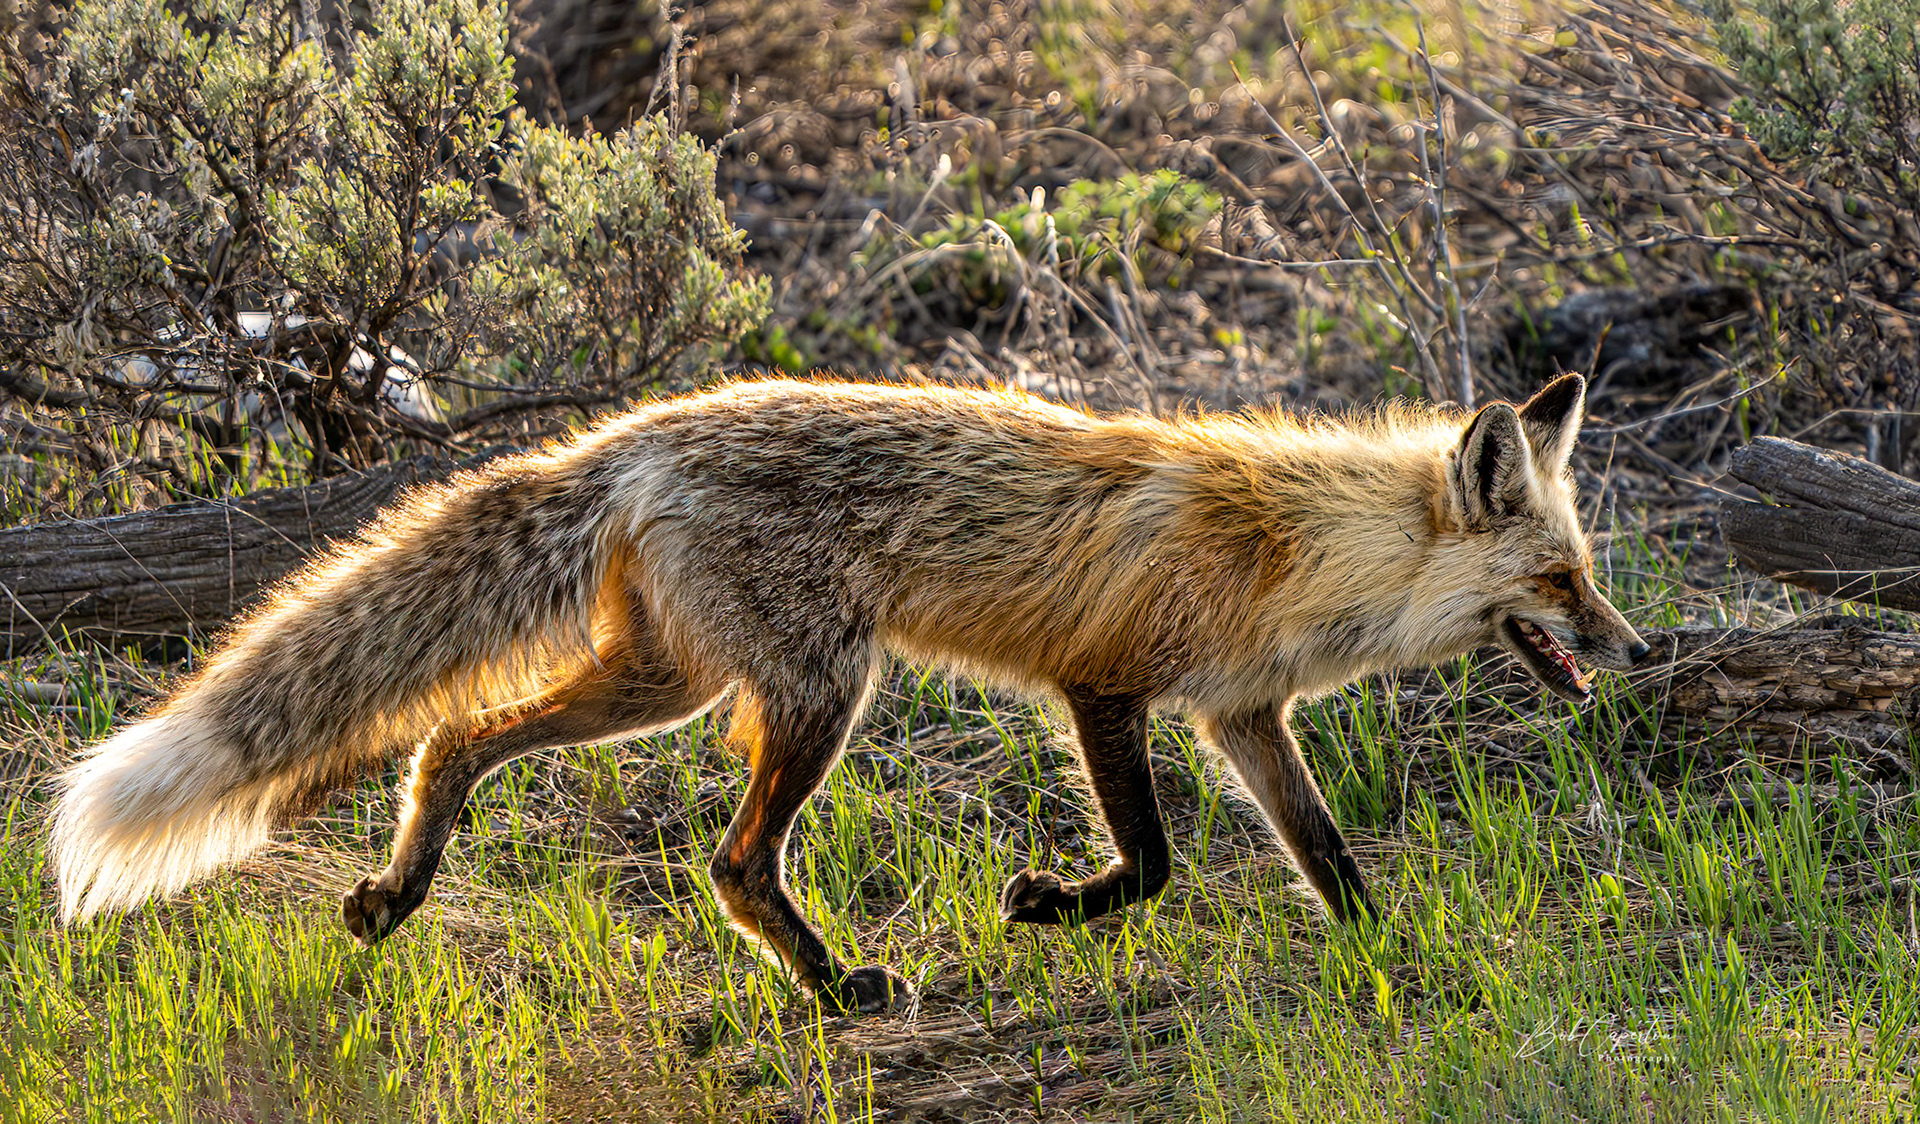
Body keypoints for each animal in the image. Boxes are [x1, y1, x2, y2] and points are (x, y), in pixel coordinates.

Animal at [49, 372, 1647, 1013]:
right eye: (1564, 581)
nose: (1634, 650)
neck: (1292, 550)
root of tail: (642, 431)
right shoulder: (1107, 683)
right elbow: (1151, 861)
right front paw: (1048, 906)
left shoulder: (1242, 714)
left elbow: (1324, 852)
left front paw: (1390, 955)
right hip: (820, 691)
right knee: (732, 860)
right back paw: (833, 988)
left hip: (673, 677)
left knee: (451, 732)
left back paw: (397, 891)